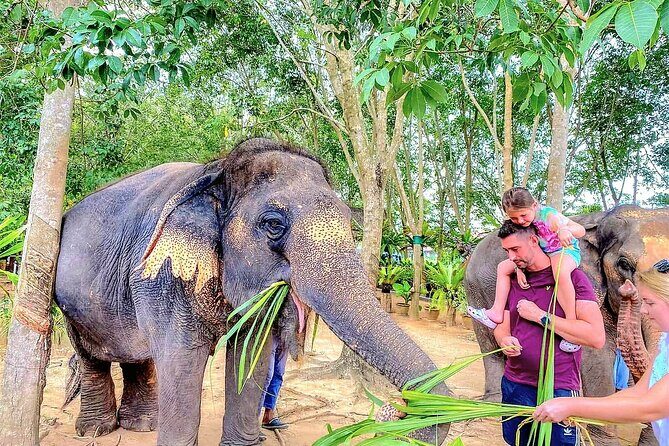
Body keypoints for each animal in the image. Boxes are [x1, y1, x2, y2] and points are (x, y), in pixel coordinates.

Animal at [54, 138, 451, 446]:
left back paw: (141, 425)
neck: (215, 170)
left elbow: (251, 353)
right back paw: (95, 431)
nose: (396, 410)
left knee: (138, 354)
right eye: (273, 224)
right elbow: (182, 359)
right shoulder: (164, 275)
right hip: (68, 301)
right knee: (90, 355)